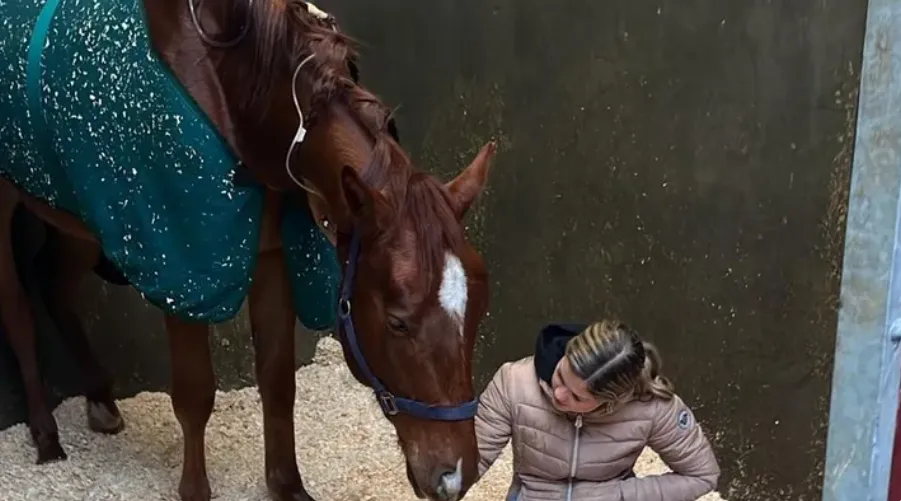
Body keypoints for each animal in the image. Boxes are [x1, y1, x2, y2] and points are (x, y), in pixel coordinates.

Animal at [0, 1, 497, 500]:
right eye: (397, 322)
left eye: (476, 312)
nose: (454, 475)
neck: (243, 99)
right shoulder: (185, 271)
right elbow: (195, 394)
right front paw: (194, 490)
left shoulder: (273, 257)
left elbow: (277, 384)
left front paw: (287, 485)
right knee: (18, 312)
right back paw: (45, 433)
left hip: (74, 212)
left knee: (52, 282)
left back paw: (101, 401)